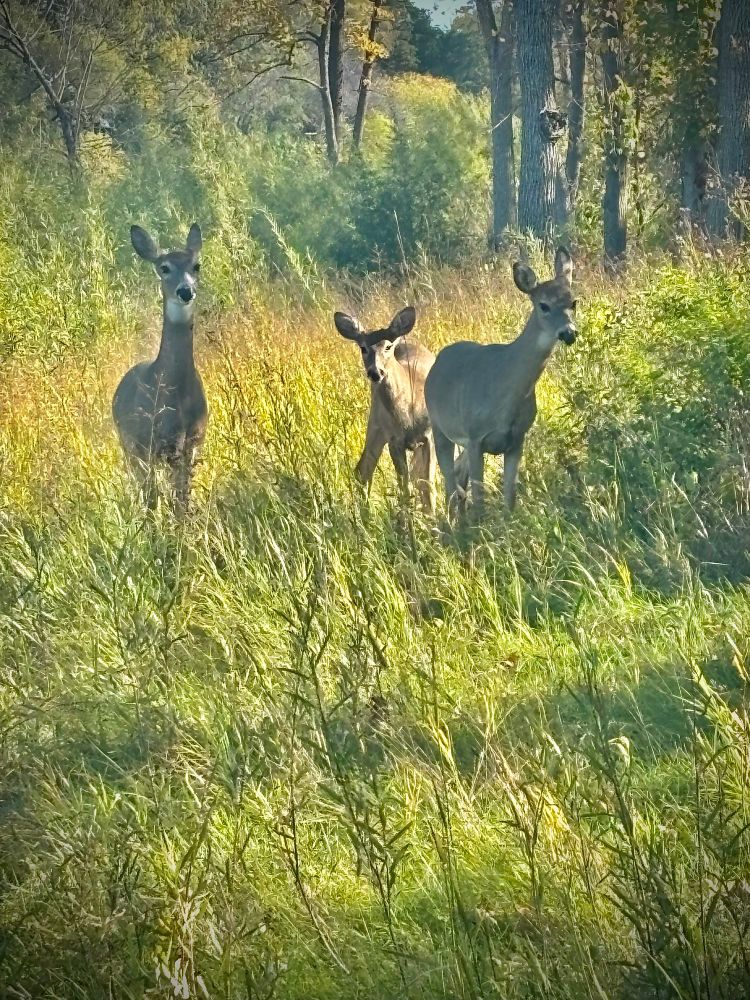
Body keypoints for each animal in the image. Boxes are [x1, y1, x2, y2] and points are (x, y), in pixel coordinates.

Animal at [112, 223, 207, 515]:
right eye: (164, 267)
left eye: (196, 265)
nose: (185, 291)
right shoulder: (148, 445)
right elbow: (155, 498)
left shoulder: (192, 443)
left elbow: (182, 500)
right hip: (129, 446)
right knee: (144, 491)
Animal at [335, 306, 436, 513]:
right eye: (363, 348)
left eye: (388, 347)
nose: (375, 372)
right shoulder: (394, 440)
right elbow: (405, 487)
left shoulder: (429, 435)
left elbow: (427, 485)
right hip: (375, 424)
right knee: (363, 469)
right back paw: (364, 515)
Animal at [424, 247, 578, 520]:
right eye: (544, 305)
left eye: (574, 302)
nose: (569, 333)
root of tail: (437, 362)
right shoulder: (475, 436)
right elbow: (480, 497)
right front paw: (481, 526)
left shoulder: (517, 438)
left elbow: (510, 495)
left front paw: (507, 524)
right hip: (440, 427)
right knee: (449, 481)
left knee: (457, 475)